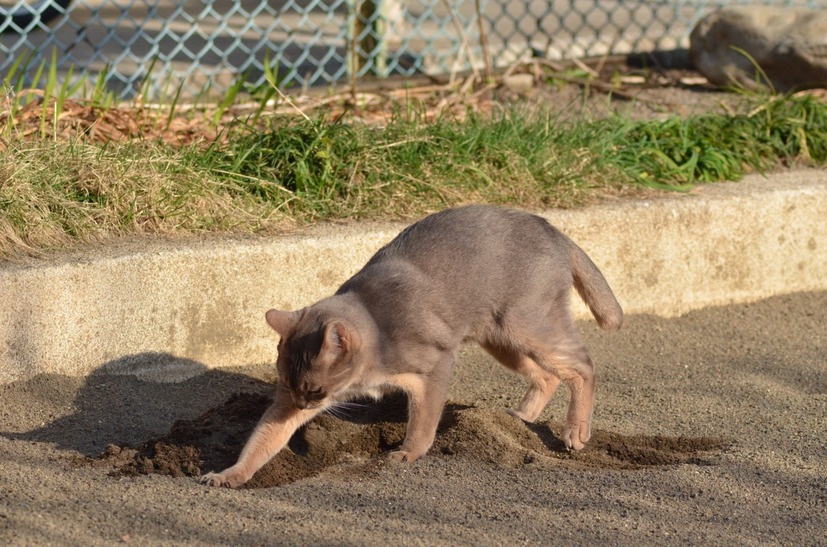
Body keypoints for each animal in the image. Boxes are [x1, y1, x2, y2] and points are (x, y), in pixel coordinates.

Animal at [201, 206, 624, 488]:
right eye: (288, 387)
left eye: (315, 390)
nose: (303, 405)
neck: (375, 325)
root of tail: (554, 229)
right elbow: (262, 441)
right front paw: (229, 474)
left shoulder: (436, 366)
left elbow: (423, 421)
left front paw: (409, 452)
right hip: (500, 337)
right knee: (548, 376)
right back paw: (520, 417)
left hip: (527, 324)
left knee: (583, 365)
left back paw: (575, 432)